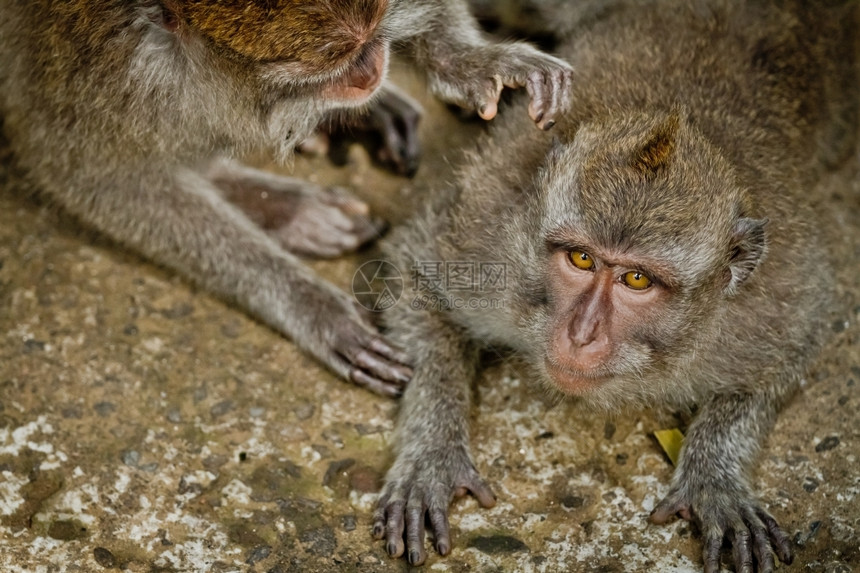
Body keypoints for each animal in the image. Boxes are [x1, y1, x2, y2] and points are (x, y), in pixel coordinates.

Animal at [0, 0, 576, 396]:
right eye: (334, 59)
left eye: (367, 41)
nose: (372, 66)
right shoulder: (95, 56)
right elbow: (87, 174)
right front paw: (310, 304)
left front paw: (475, 59)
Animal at [372, 0, 856, 568]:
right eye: (581, 258)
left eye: (636, 279)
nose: (581, 335)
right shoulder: (484, 245)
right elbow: (414, 275)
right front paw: (434, 453)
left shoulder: (769, 304)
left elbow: (786, 360)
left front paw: (715, 478)